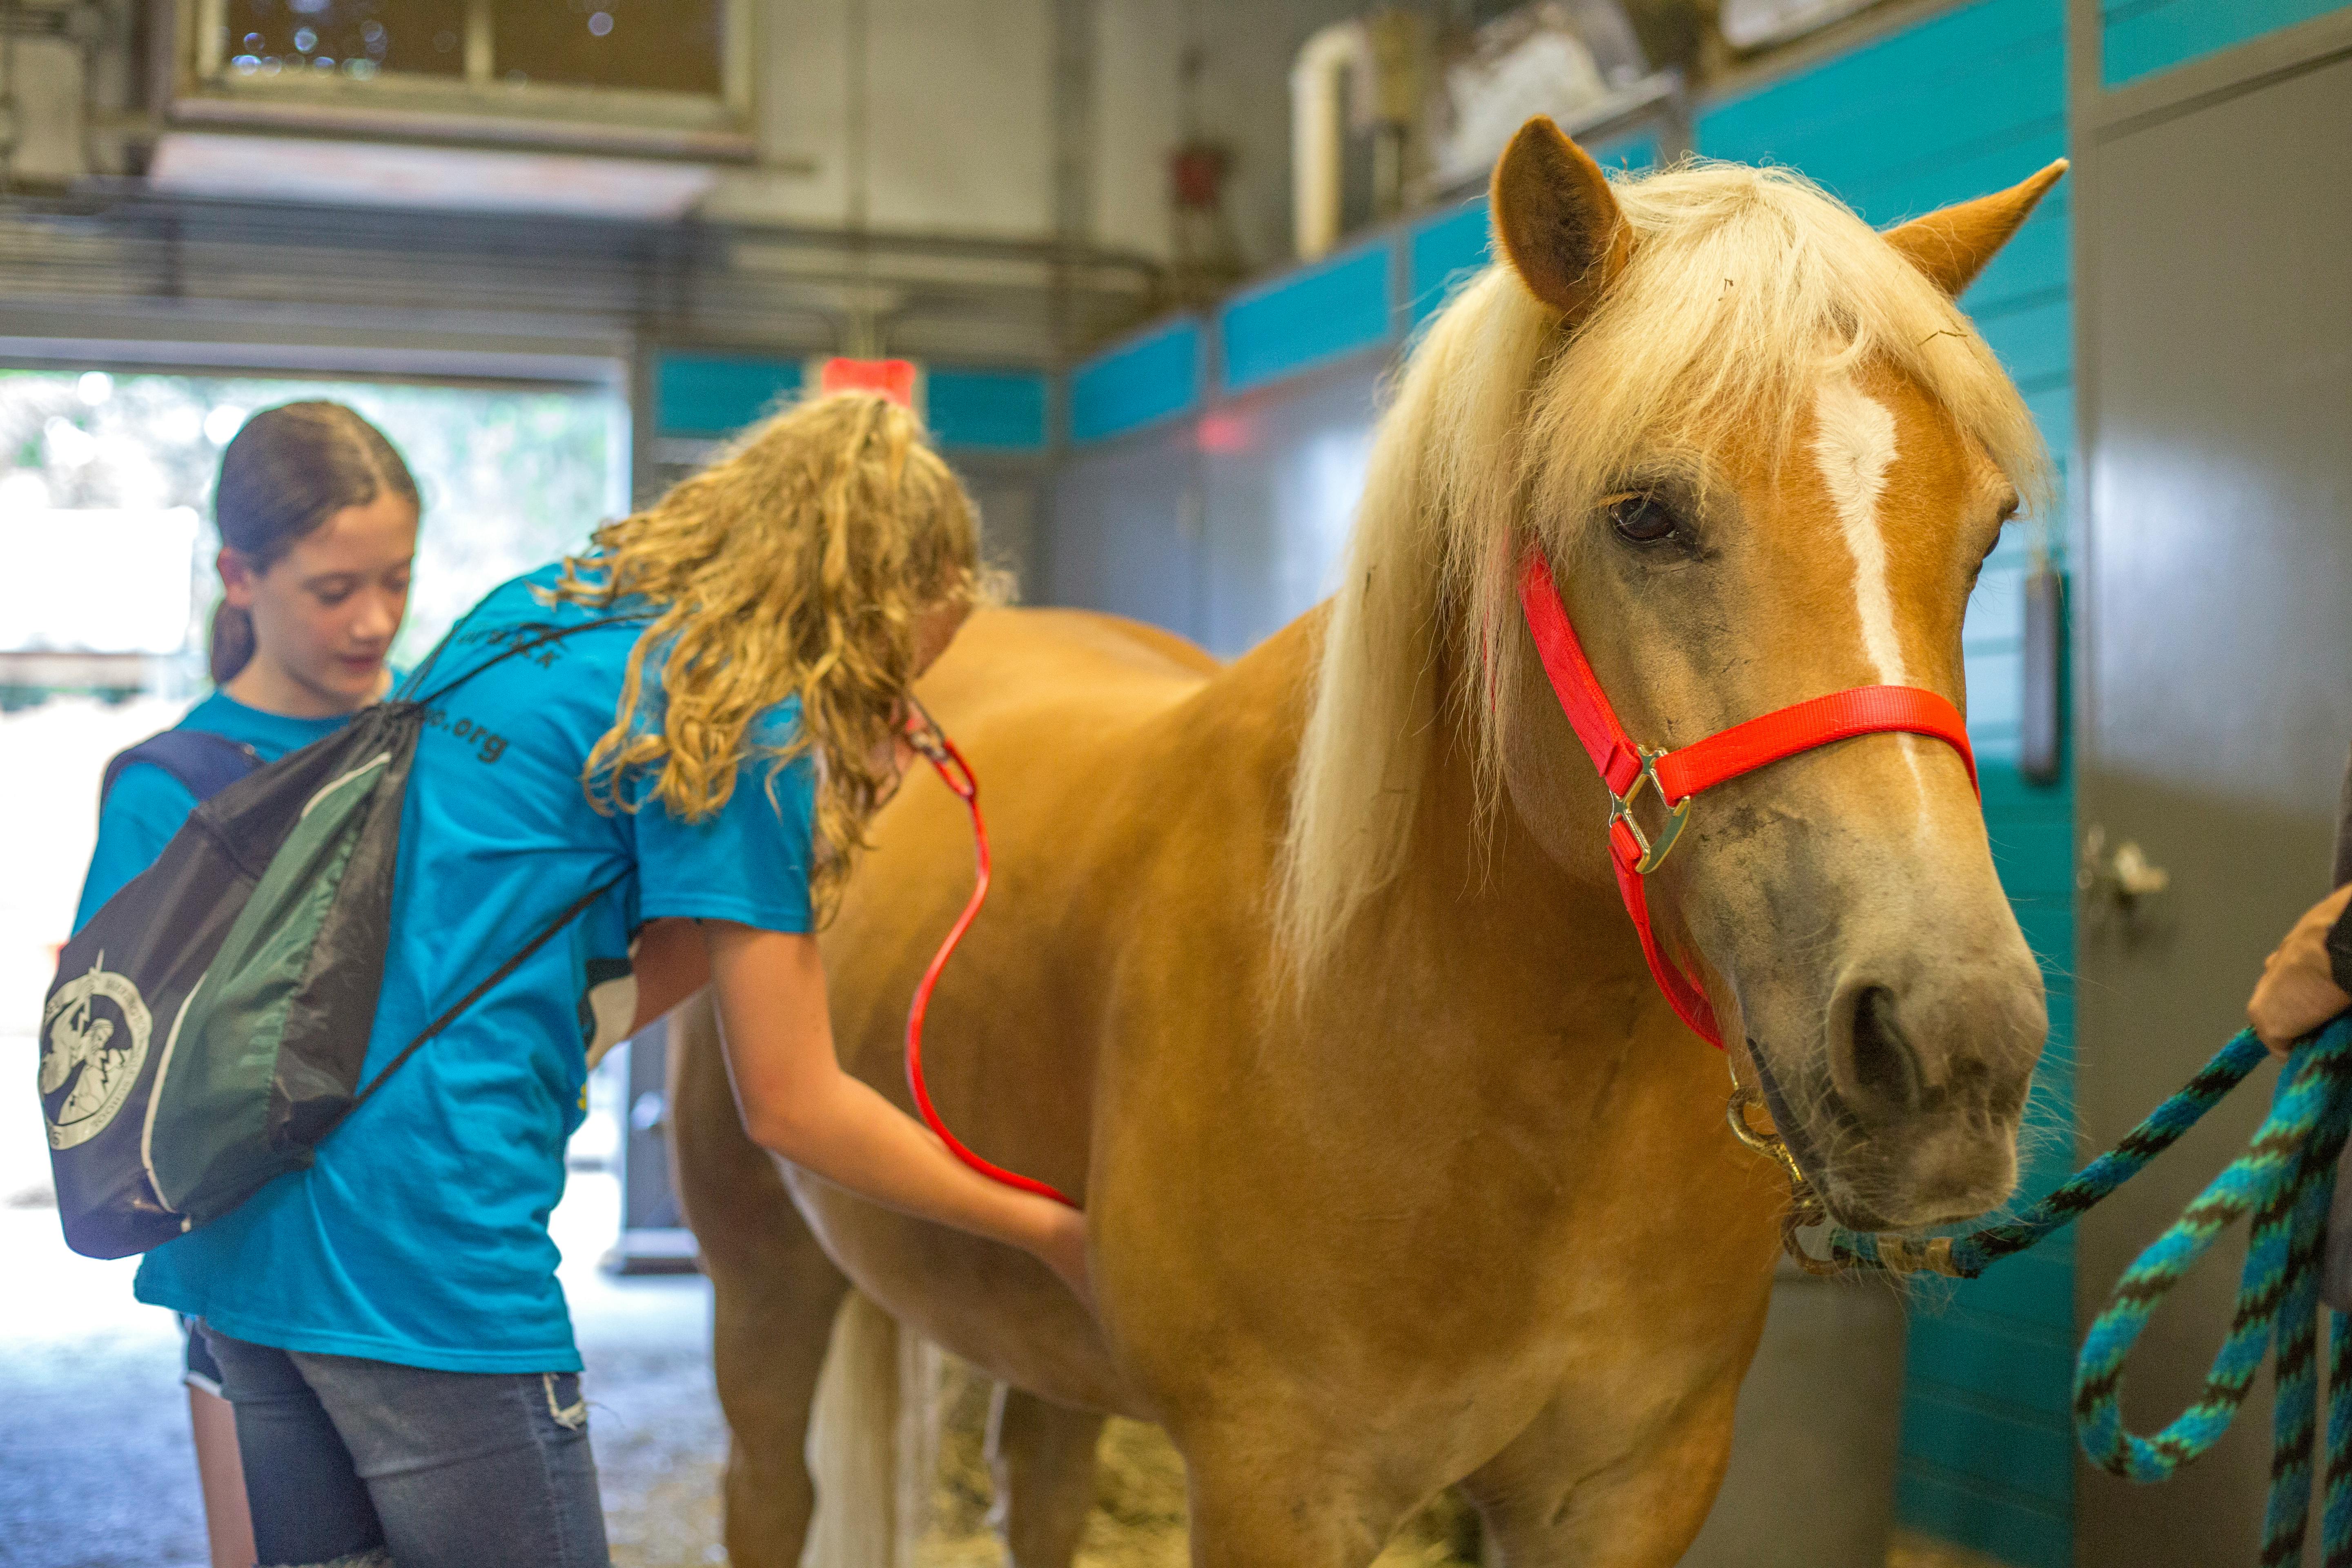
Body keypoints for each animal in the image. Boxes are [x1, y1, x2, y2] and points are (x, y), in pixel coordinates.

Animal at [673, 117, 2063, 1568]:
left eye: (1987, 534)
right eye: (1641, 514)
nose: (1953, 1043)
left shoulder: (1629, 1483)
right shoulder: (1277, 1486)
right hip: (765, 1276)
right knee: (770, 1487)